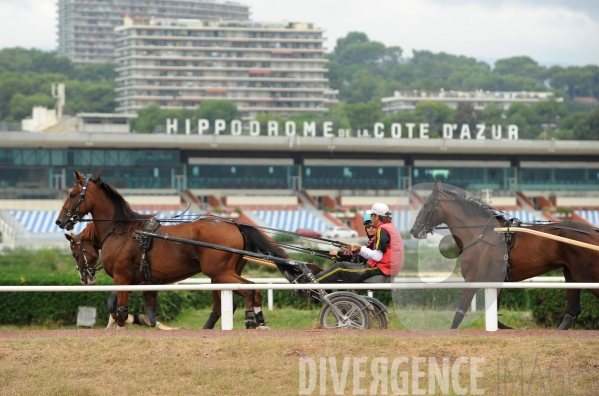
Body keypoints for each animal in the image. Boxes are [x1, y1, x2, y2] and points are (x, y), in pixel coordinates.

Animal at [55, 172, 290, 330]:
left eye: (73, 194)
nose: (59, 221)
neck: (121, 230)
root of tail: (233, 223)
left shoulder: (122, 277)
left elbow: (120, 309)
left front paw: (125, 322)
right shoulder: (143, 280)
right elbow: (143, 310)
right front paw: (144, 320)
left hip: (219, 272)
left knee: (249, 290)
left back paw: (251, 319)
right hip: (220, 275)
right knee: (231, 300)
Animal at [410, 181, 599, 330]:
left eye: (426, 205)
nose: (413, 230)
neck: (480, 232)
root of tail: (592, 231)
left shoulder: (473, 279)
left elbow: (459, 315)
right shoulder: (495, 281)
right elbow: (495, 318)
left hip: (585, 276)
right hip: (571, 274)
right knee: (572, 311)